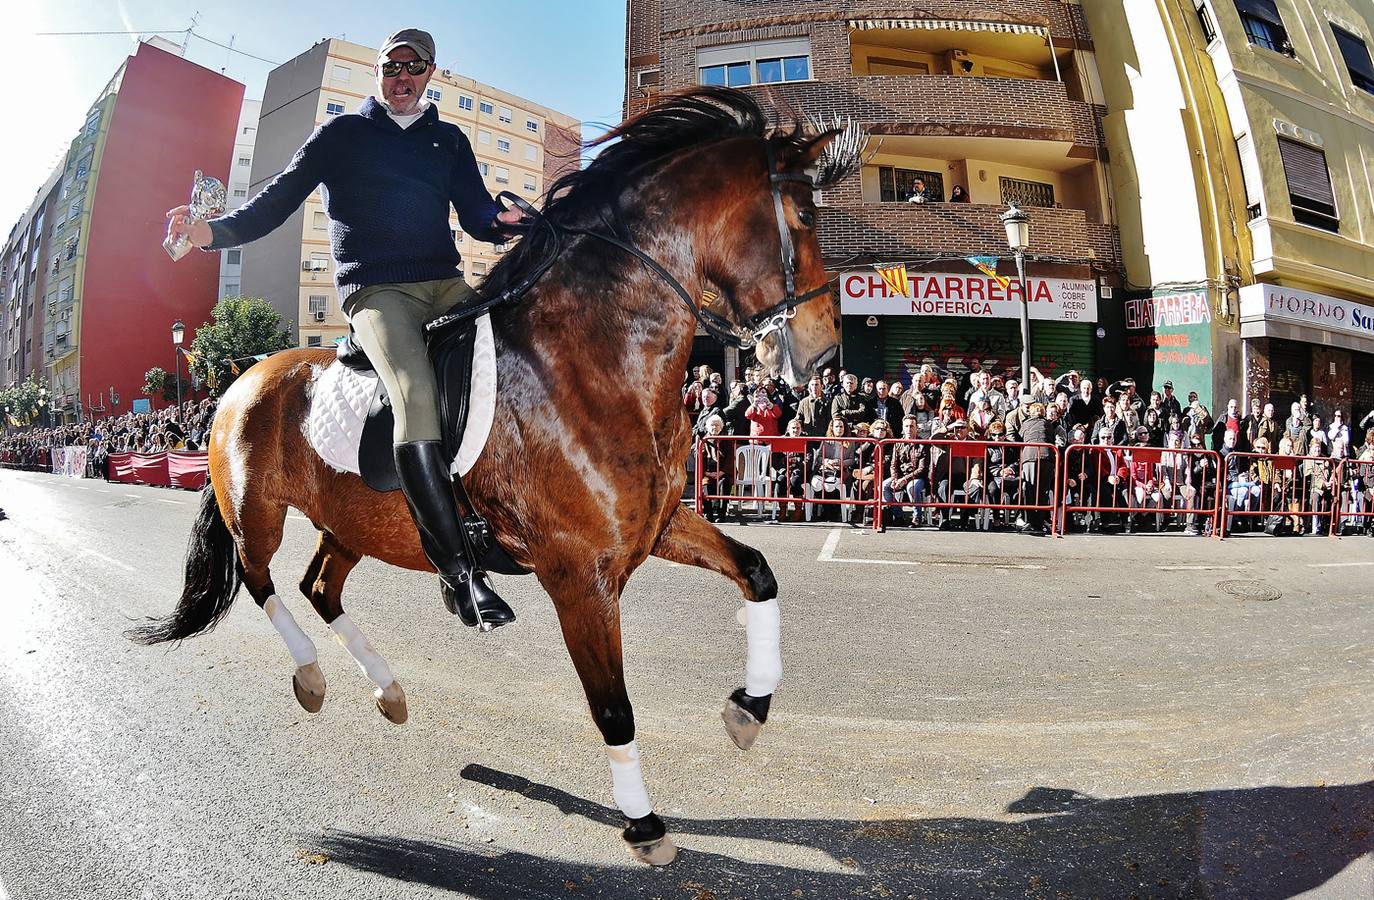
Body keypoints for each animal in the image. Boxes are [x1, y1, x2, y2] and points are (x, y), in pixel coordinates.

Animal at [129, 90, 857, 868]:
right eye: (804, 216)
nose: (823, 351)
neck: (598, 362)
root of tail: (240, 381)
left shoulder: (656, 527)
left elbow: (756, 570)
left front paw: (749, 708)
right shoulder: (578, 577)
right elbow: (613, 705)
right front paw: (643, 823)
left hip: (355, 525)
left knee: (319, 586)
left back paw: (388, 690)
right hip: (257, 512)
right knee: (261, 578)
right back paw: (313, 674)